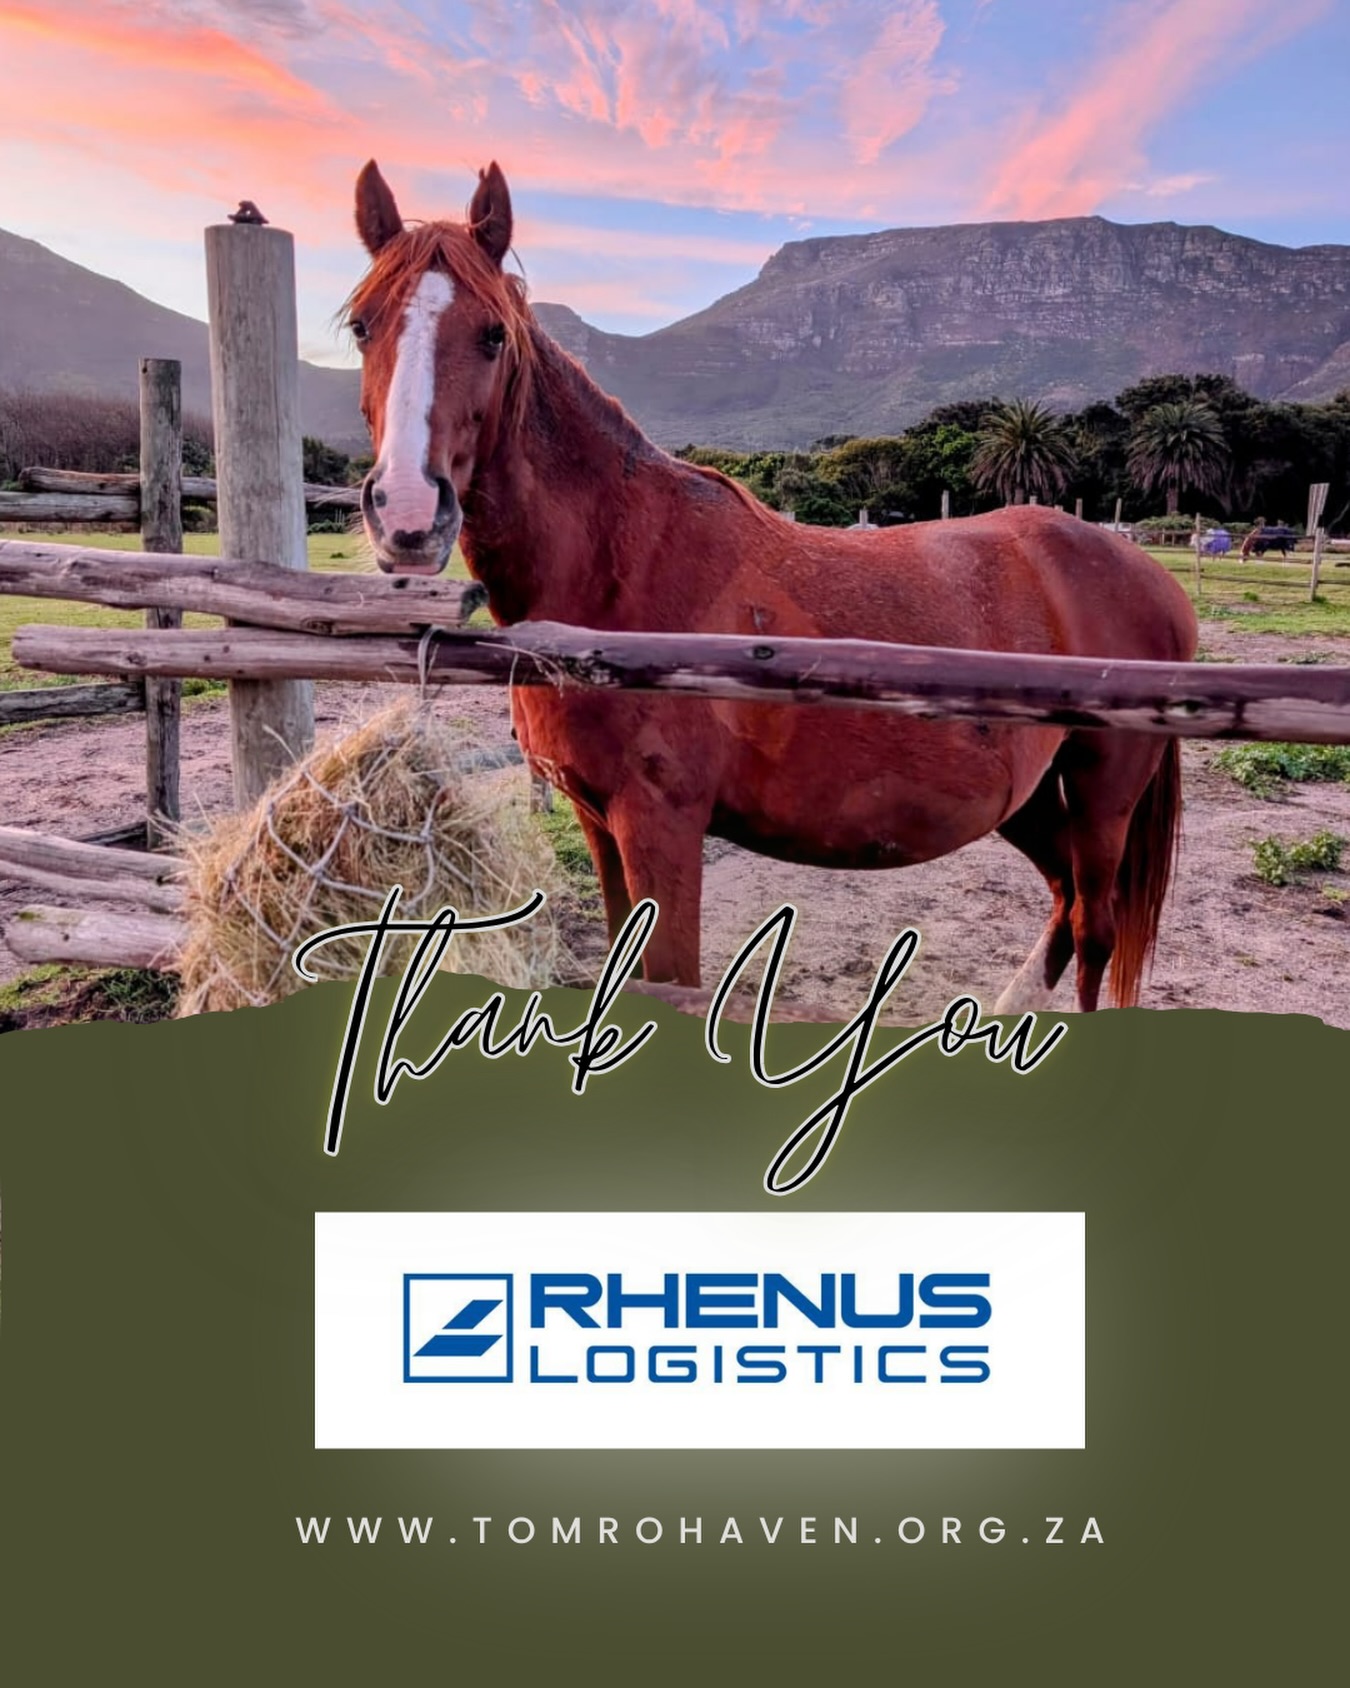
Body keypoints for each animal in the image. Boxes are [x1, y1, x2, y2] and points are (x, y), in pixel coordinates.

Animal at [346, 159, 1199, 1013]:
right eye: (362, 326)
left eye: (493, 334)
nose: (409, 515)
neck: (615, 574)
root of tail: (1151, 578)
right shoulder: (597, 821)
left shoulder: (659, 826)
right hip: (1031, 795)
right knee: (1064, 902)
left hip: (1103, 794)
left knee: (1093, 926)